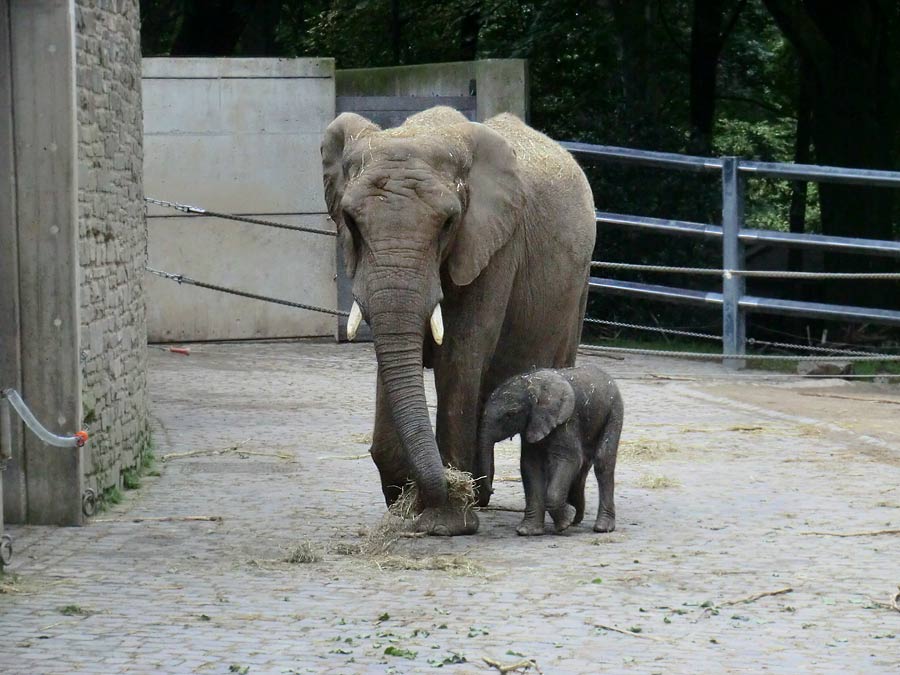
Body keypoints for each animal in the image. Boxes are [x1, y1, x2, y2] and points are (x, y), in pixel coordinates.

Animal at [324, 108, 596, 536]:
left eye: (449, 223)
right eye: (350, 220)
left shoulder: (494, 245)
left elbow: (459, 355)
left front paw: (445, 523)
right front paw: (408, 504)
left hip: (577, 284)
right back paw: (481, 495)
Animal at [482, 364, 624, 540]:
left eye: (510, 414)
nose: (492, 490)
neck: (533, 386)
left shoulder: (566, 420)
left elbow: (569, 459)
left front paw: (564, 524)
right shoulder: (533, 423)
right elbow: (530, 465)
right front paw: (528, 531)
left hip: (614, 410)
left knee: (603, 461)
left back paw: (602, 527)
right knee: (585, 463)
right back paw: (577, 516)